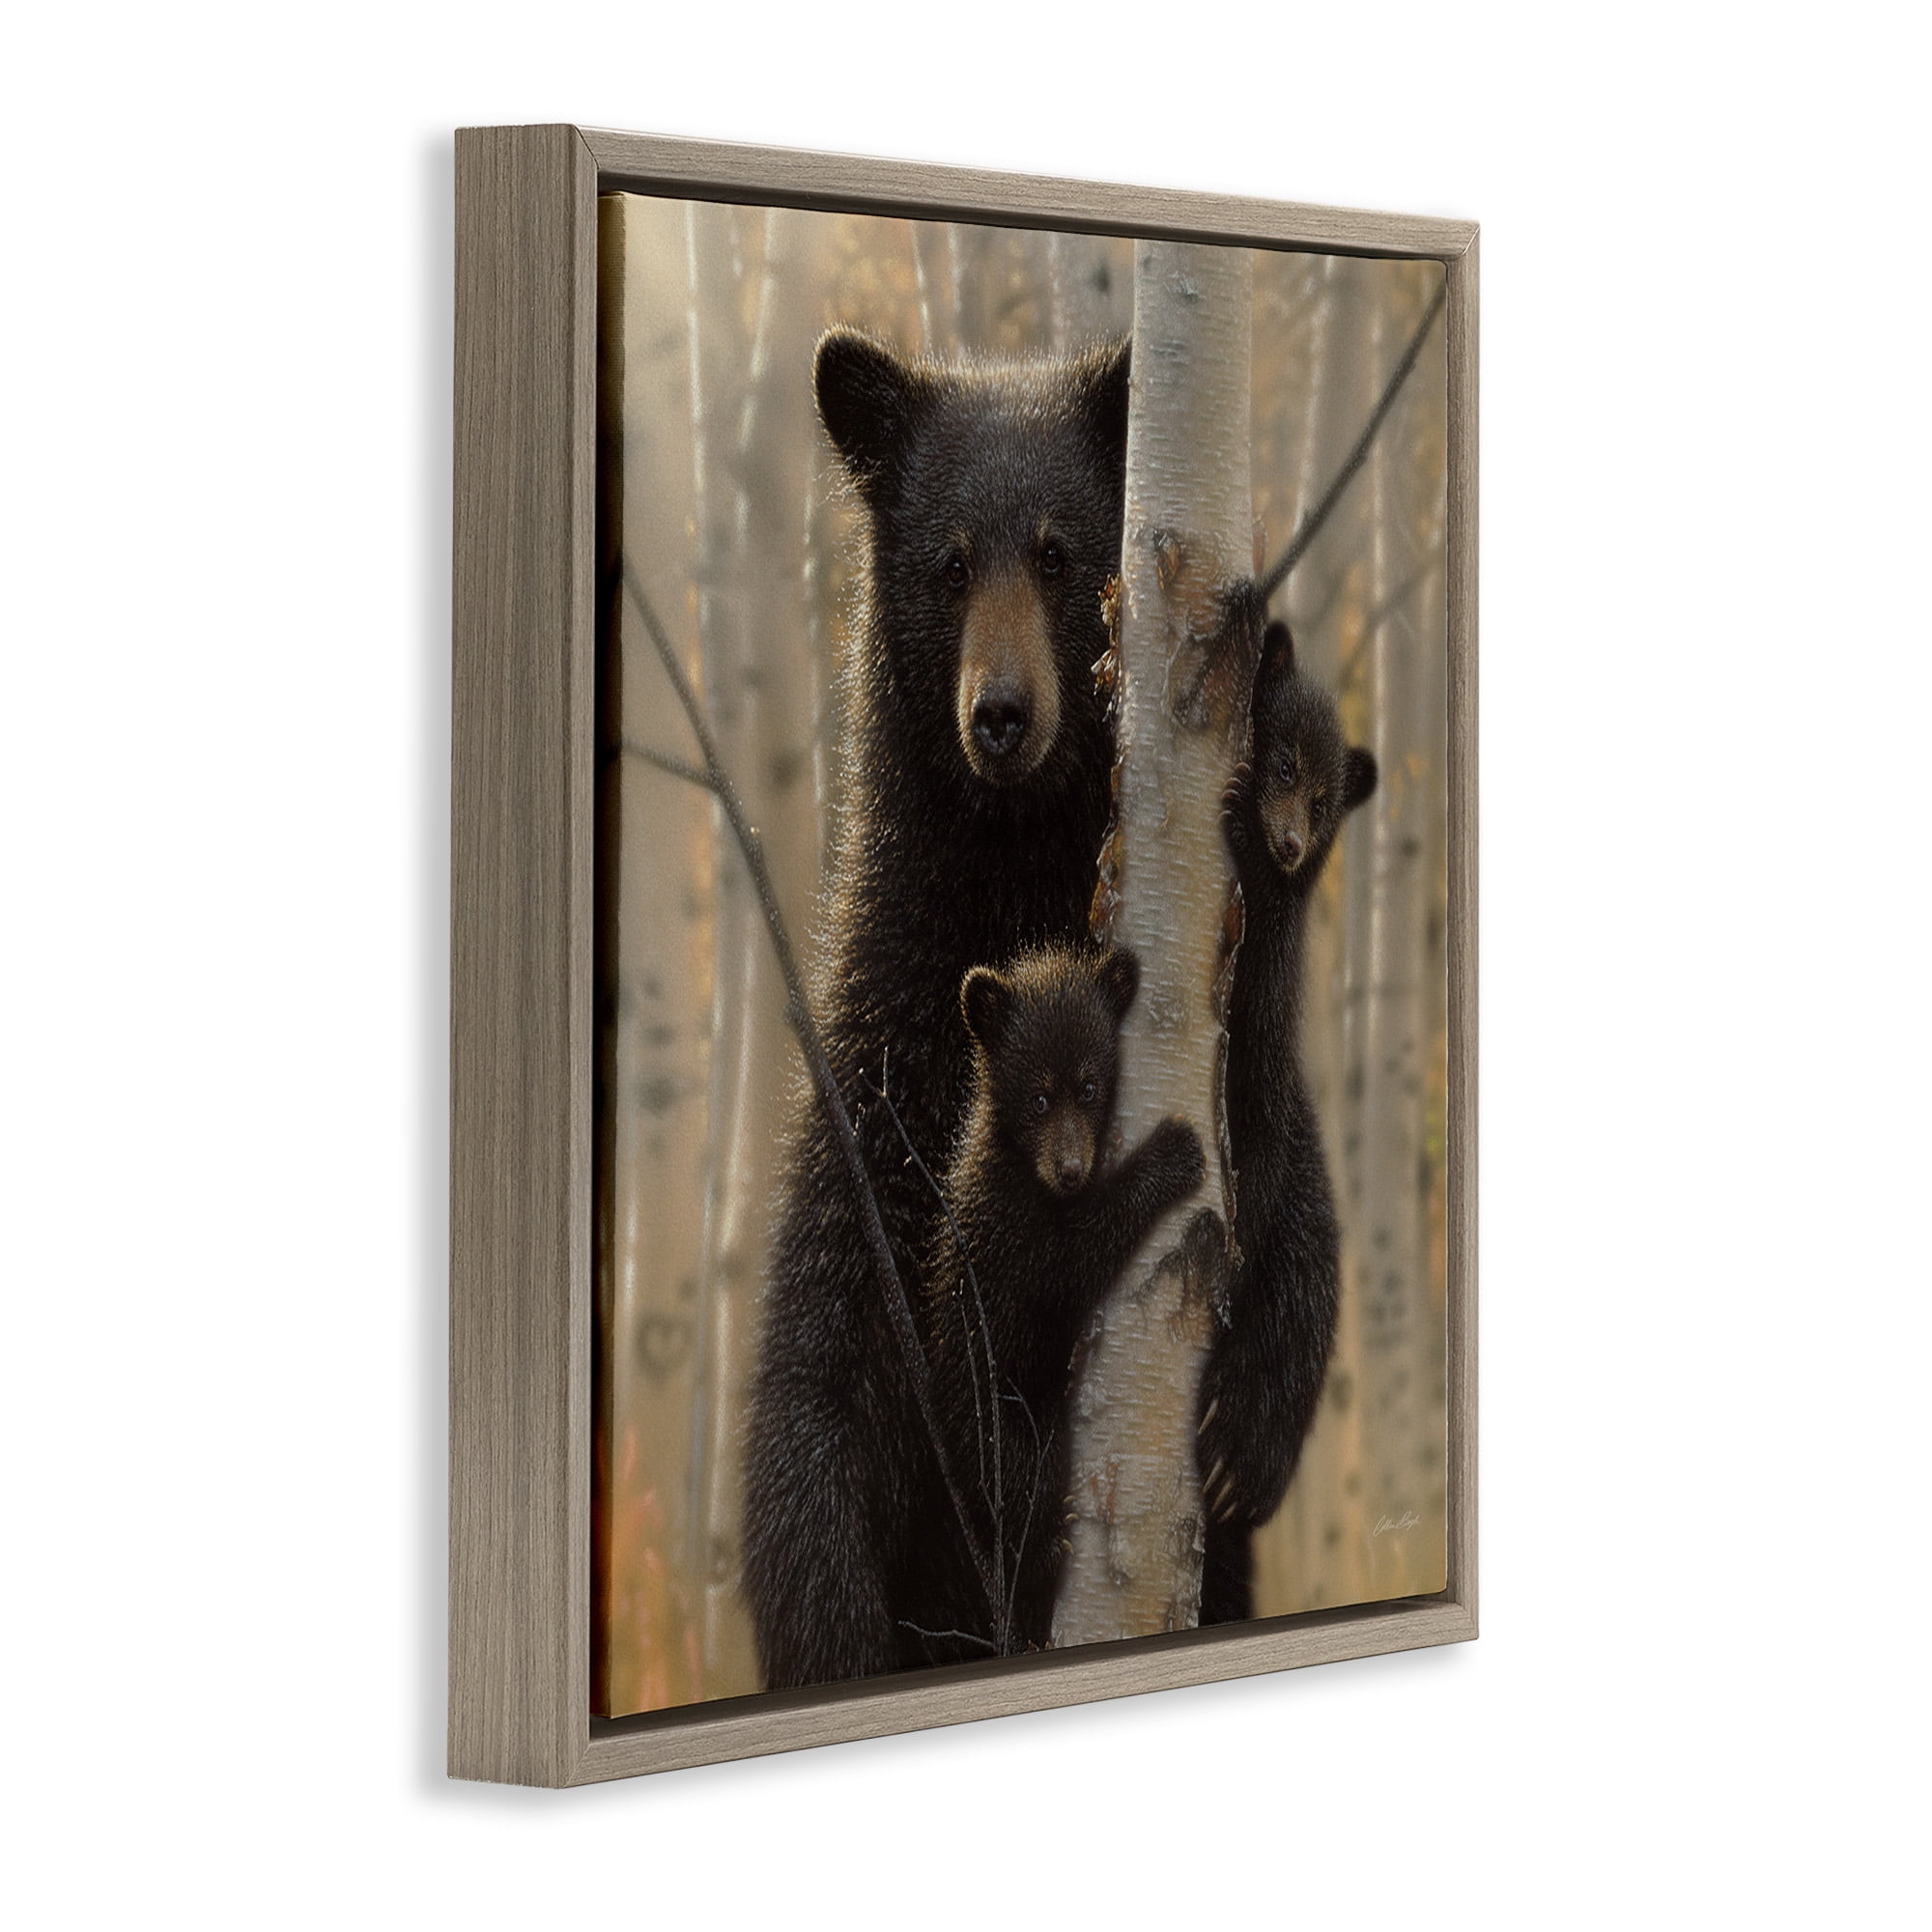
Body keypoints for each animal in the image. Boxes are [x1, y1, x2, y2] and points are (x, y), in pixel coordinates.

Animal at [906, 945, 1209, 1664]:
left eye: (1091, 1087)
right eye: (1039, 1096)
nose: (1070, 1168)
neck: (1026, 1170)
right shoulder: (1010, 1231)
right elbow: (1070, 1261)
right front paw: (1172, 1153)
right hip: (997, 1416)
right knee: (1019, 1482)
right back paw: (1044, 1553)